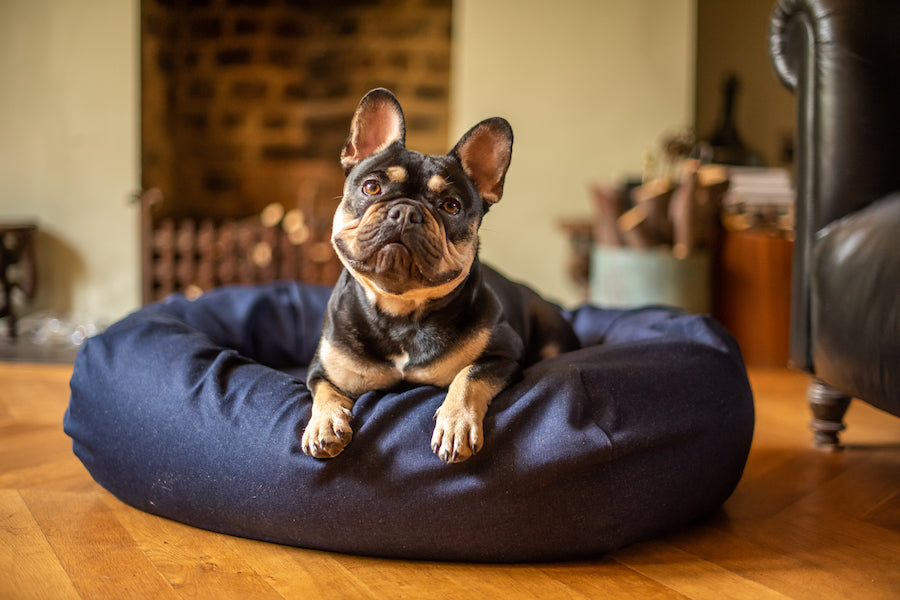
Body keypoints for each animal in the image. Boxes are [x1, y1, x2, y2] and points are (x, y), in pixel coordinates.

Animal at [302, 89, 580, 464]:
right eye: (372, 187)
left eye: (451, 206)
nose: (406, 211)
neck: (400, 311)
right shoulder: (322, 368)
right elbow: (324, 391)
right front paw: (325, 425)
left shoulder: (503, 353)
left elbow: (468, 377)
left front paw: (456, 425)